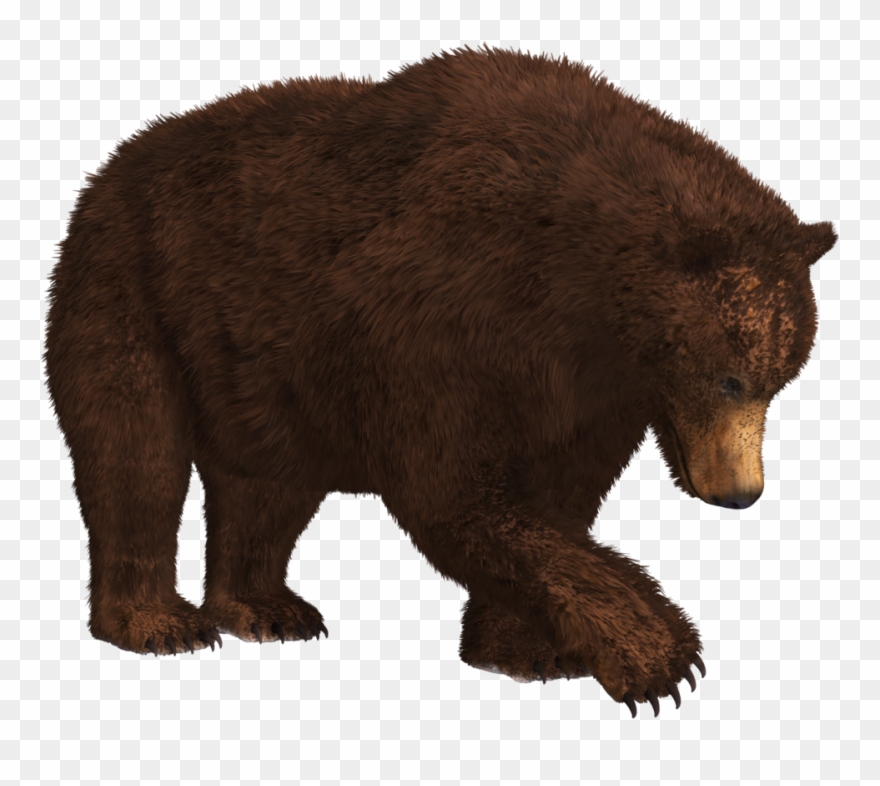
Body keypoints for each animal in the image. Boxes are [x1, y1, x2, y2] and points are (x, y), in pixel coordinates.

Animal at [44, 45, 837, 717]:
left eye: (780, 379)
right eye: (729, 380)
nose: (739, 493)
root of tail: (112, 166)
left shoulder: (589, 396)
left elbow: (558, 493)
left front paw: (526, 651)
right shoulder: (437, 325)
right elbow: (454, 493)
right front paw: (657, 656)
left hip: (258, 370)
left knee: (266, 487)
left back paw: (263, 609)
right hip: (133, 292)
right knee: (136, 455)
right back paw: (157, 623)